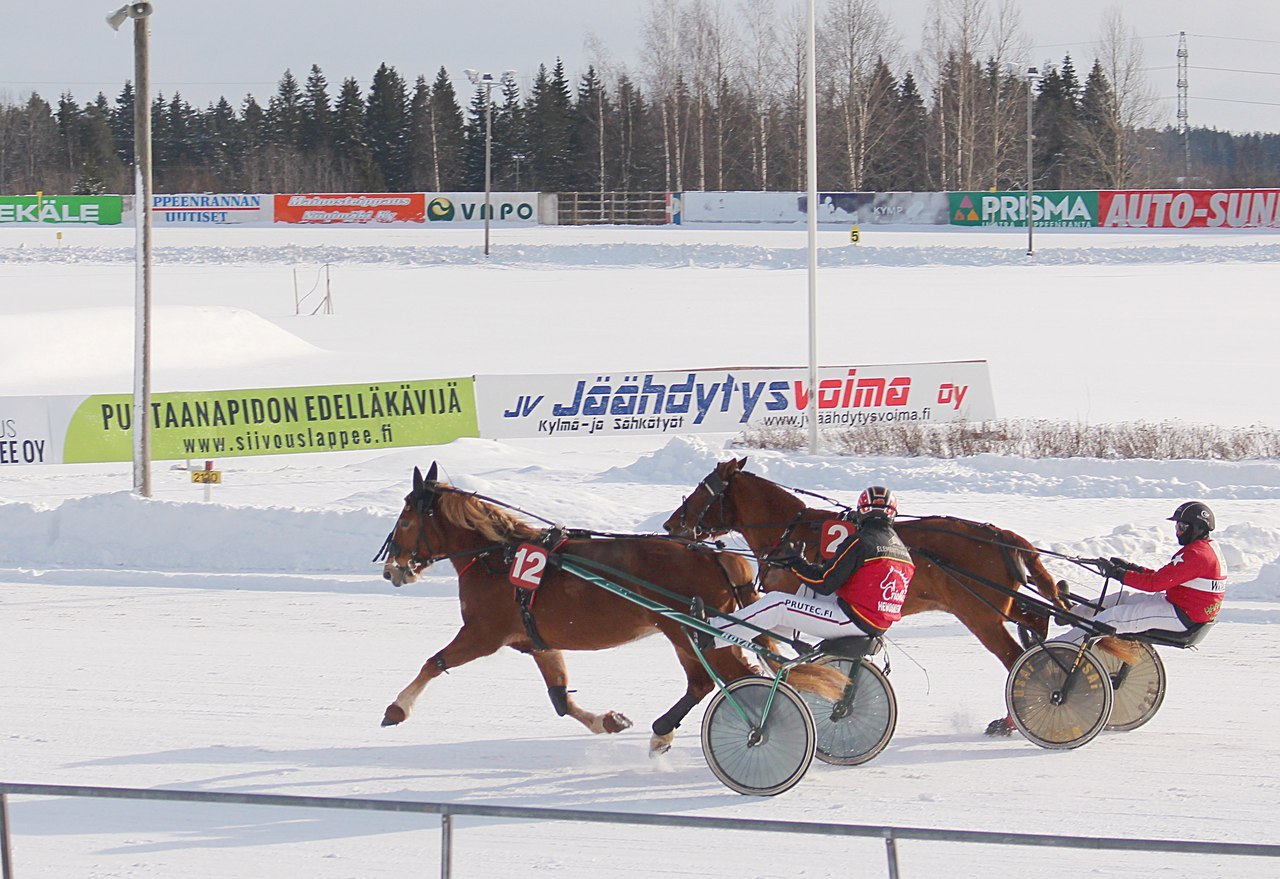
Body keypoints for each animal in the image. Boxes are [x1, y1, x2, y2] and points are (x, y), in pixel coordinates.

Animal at [373, 463, 844, 757]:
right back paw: (662, 733)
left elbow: (434, 662)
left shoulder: (483, 633)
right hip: (685, 632)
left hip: (686, 630)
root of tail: (714, 554)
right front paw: (608, 721)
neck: (497, 556)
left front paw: (397, 708)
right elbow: (560, 698)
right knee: (703, 683)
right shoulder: (537, 642)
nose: (391, 568)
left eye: (405, 519)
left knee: (734, 680)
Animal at [665, 458, 1075, 736]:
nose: (670, 525)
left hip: (980, 614)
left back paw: (1016, 714)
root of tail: (1001, 535)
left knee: (1014, 657)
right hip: (998, 606)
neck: (791, 530)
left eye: (702, 490)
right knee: (1034, 622)